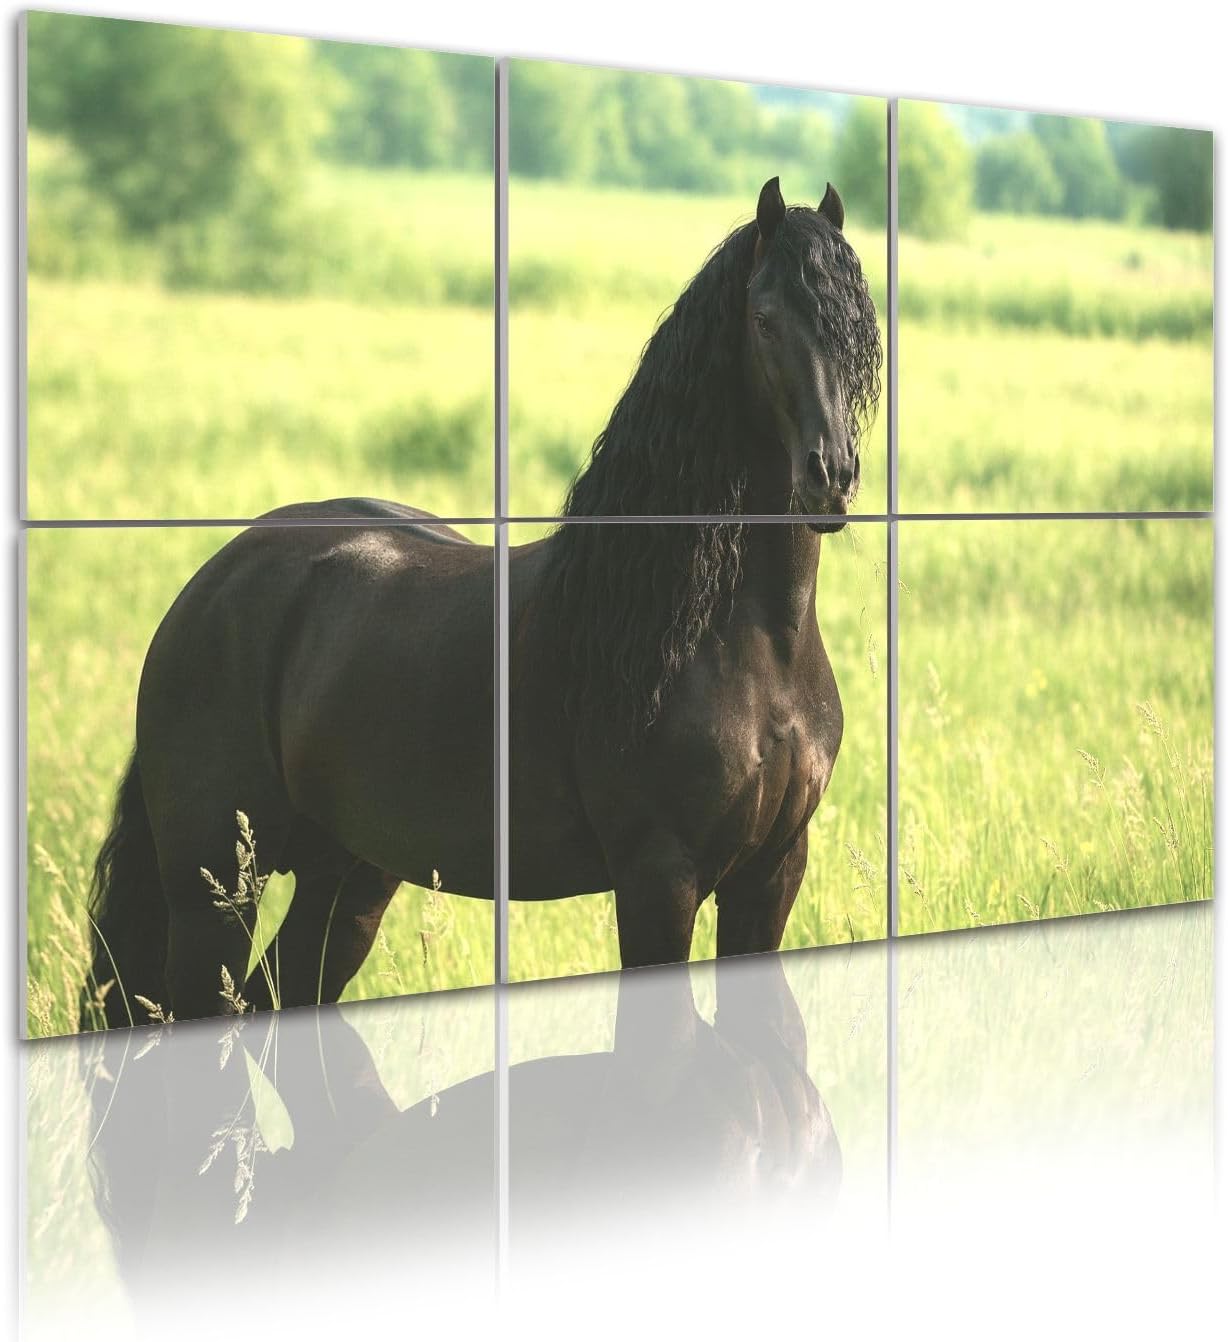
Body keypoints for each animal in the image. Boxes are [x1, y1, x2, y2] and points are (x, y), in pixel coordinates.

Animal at [82, 176, 881, 1028]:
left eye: (859, 330)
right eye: (764, 320)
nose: (830, 477)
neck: (744, 642)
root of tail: (210, 585)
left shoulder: (771, 874)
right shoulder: (659, 879)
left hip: (349, 877)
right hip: (214, 895)